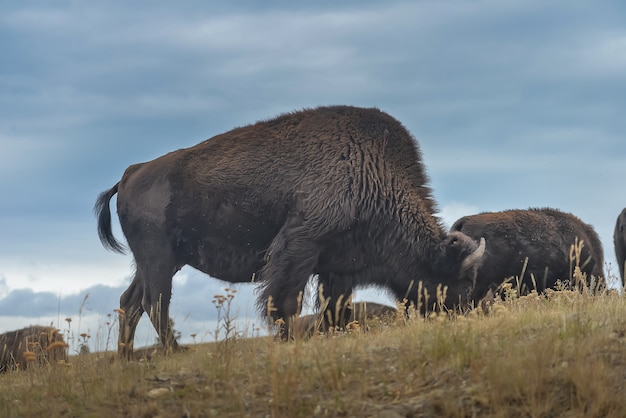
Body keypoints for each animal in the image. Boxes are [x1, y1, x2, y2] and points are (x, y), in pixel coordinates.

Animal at [95, 106, 486, 358]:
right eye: (460, 283)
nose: (462, 318)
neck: (369, 170)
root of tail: (130, 173)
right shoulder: (301, 246)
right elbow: (286, 301)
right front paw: (289, 341)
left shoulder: (337, 268)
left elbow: (334, 308)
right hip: (158, 257)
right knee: (154, 301)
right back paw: (175, 352)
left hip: (160, 261)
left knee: (130, 301)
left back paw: (127, 358)